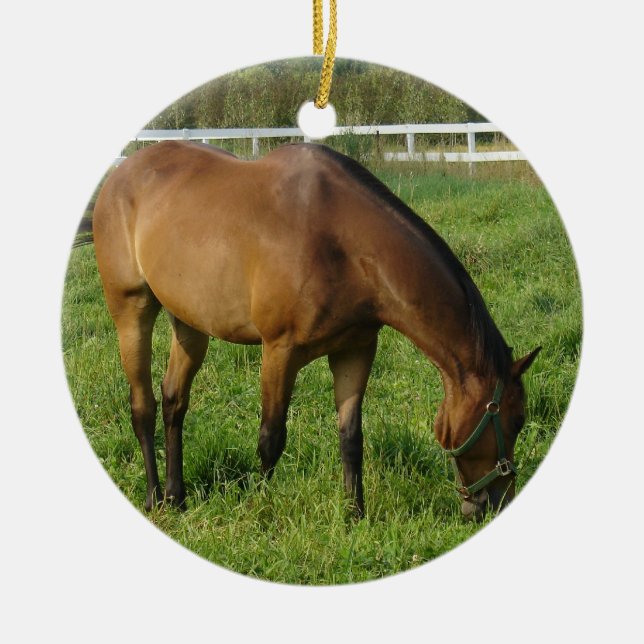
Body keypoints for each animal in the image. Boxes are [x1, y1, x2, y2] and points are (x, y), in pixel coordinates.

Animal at [92, 140, 540, 520]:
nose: (496, 503)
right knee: (143, 406)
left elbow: (351, 437)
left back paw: (177, 495)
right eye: (516, 420)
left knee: (174, 401)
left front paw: (355, 516)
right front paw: (259, 509)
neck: (341, 243)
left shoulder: (355, 350)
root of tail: (120, 174)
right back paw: (153, 497)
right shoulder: (279, 351)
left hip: (188, 321)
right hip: (131, 310)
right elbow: (271, 440)